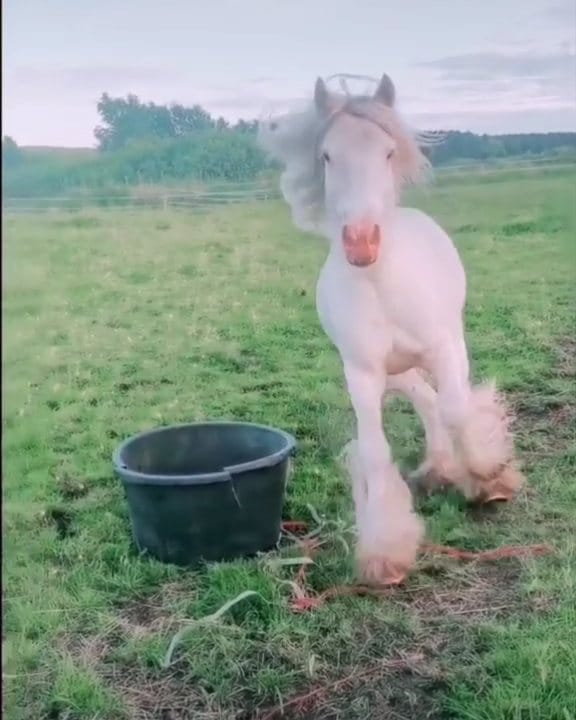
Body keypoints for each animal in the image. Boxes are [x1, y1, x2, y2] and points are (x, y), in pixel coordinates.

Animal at [258, 74, 525, 587]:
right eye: (327, 155)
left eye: (386, 152)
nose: (361, 243)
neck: (382, 286)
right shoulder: (363, 374)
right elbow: (376, 450)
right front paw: (386, 554)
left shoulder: (443, 346)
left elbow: (459, 410)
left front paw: (491, 479)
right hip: (397, 371)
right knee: (425, 399)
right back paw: (438, 469)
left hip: (444, 348)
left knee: (447, 401)